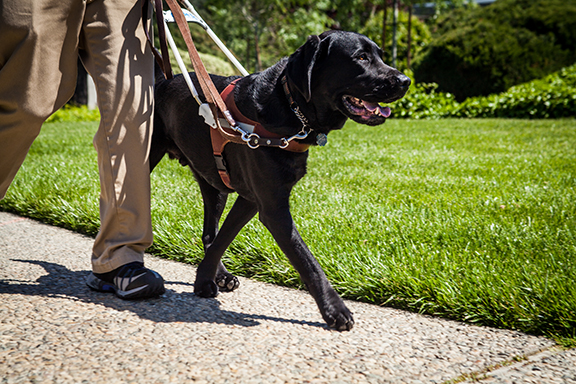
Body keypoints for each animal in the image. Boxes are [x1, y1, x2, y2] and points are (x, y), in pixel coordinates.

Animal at [151, 30, 408, 330]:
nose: (405, 81)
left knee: (209, 233)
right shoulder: (273, 208)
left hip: (214, 184)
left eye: (380, 55)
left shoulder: (252, 199)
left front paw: (204, 279)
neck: (290, 107)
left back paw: (221, 275)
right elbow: (307, 260)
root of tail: (161, 81)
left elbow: (223, 237)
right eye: (362, 57)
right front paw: (335, 309)